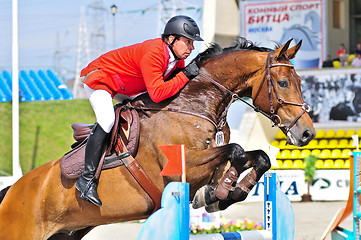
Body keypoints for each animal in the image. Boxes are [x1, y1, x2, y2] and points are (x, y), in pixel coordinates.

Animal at [0, 38, 314, 239]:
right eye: (283, 83)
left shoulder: (214, 158)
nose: (307, 133)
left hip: (67, 233)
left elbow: (257, 157)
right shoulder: (183, 166)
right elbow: (236, 150)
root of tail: (12, 191)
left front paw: (221, 194)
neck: (194, 103)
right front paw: (219, 193)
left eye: (300, 82)